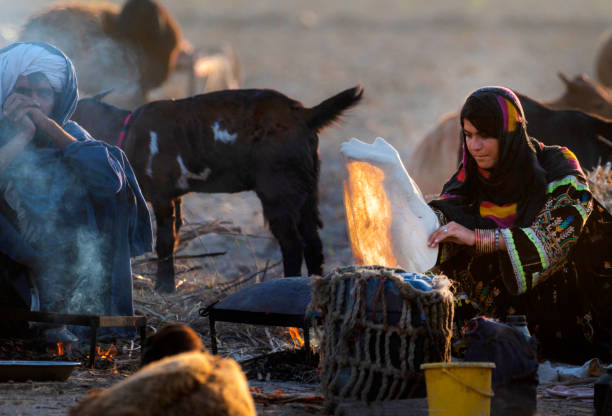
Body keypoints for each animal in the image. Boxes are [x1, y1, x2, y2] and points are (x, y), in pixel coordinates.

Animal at [74, 85, 366, 290]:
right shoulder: (176, 198)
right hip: (307, 194)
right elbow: (175, 236)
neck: (128, 132)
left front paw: (163, 288)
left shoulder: (162, 195)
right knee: (314, 243)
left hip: (278, 195)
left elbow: (165, 243)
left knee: (292, 245)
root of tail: (304, 114)